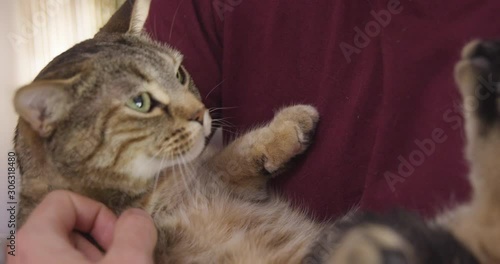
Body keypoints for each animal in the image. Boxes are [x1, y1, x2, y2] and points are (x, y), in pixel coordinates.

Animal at [11, 0, 500, 262]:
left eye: (181, 73)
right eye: (141, 103)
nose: (202, 113)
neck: (157, 192)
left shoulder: (222, 181)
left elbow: (229, 156)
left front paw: (285, 128)